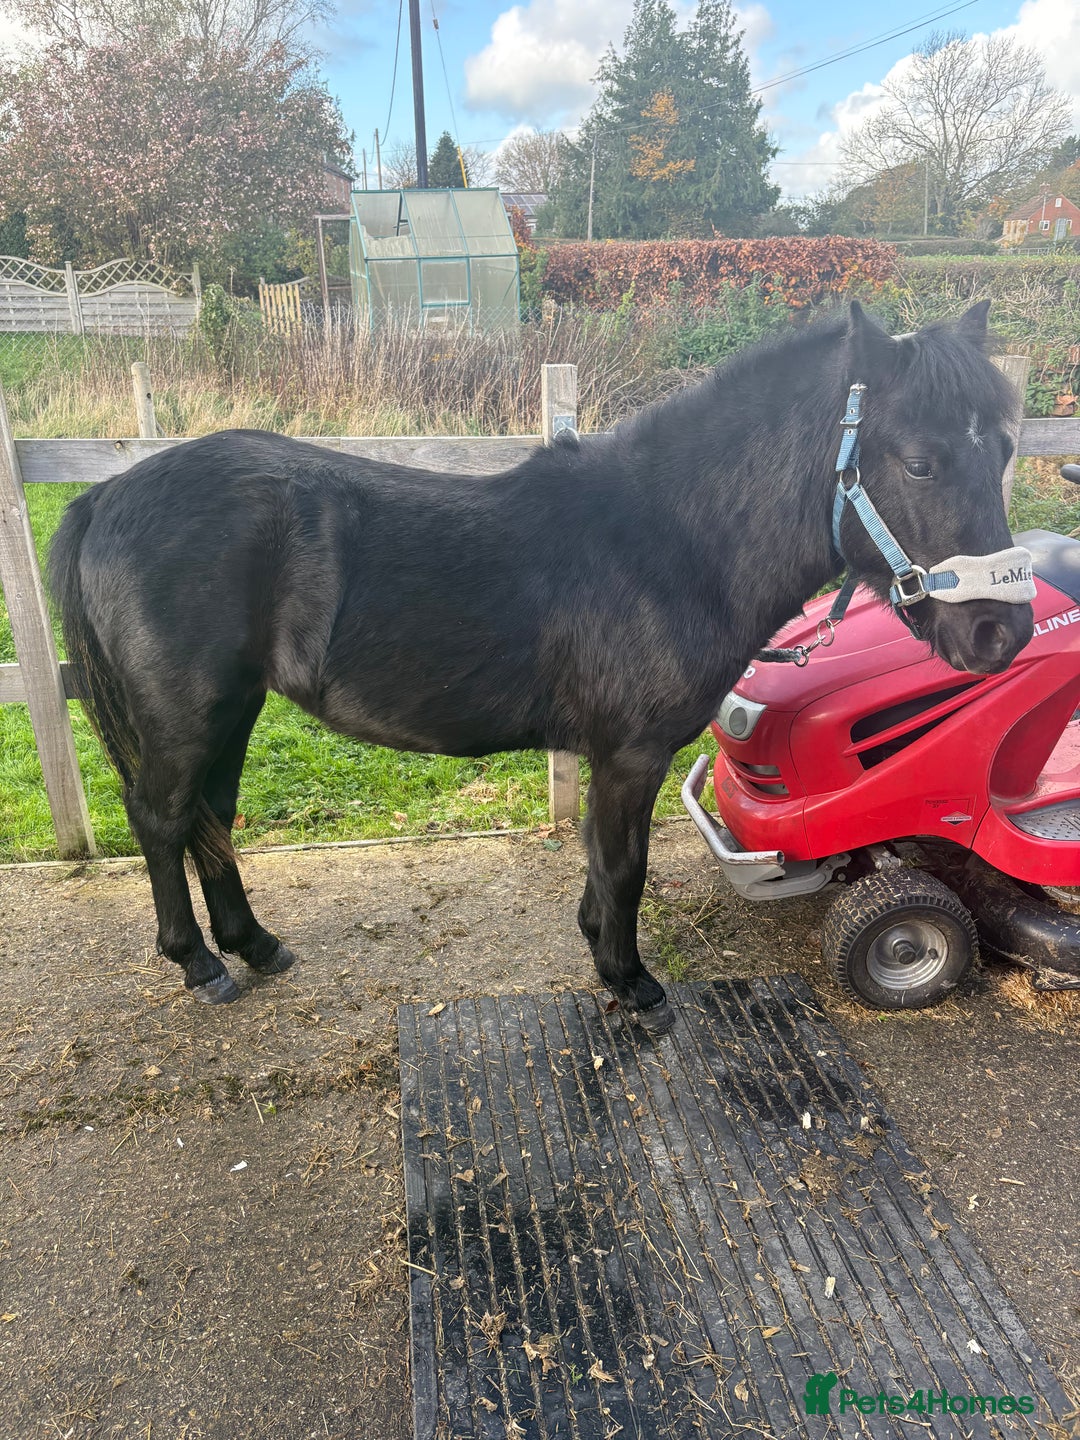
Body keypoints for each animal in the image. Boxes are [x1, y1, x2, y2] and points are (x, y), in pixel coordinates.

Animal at [48, 300, 1034, 1028]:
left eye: (1005, 449)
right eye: (919, 461)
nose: (1002, 634)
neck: (668, 541)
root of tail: (109, 495)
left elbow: (600, 864)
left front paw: (602, 953)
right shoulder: (631, 754)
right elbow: (624, 866)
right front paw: (631, 981)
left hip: (234, 708)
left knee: (211, 818)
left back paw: (254, 944)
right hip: (187, 715)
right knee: (163, 819)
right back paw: (199, 962)